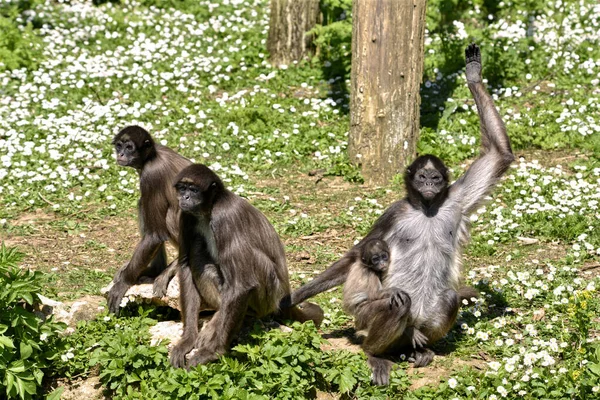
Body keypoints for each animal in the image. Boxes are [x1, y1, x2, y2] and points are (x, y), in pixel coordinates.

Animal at [288, 43, 512, 384]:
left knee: (448, 297)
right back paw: (376, 353)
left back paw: (419, 348)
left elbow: (500, 155)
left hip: (425, 318)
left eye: (435, 178)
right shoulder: (394, 212)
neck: (428, 209)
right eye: (421, 178)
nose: (429, 185)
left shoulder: (454, 200)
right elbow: (356, 255)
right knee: (397, 302)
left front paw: (473, 74)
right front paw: (292, 298)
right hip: (374, 320)